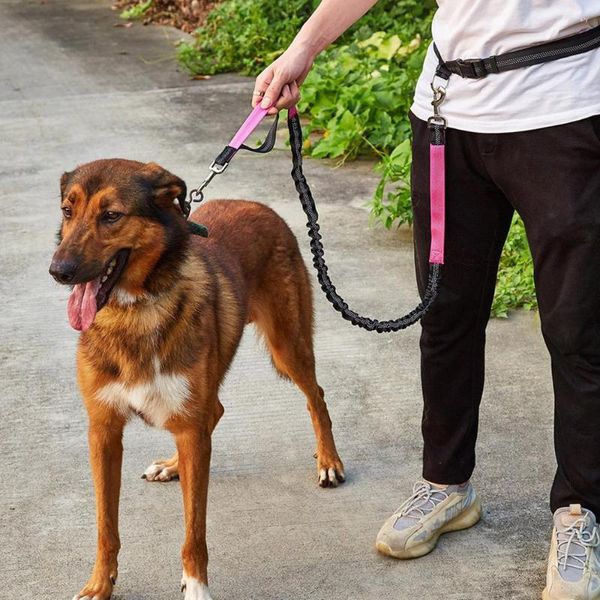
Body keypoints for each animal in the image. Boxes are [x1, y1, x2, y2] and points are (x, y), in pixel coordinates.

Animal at [52, 158, 344, 600]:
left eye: (112, 215)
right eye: (68, 212)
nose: (58, 271)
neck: (133, 313)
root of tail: (257, 204)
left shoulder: (189, 430)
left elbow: (194, 532)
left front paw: (196, 587)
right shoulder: (103, 431)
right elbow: (105, 526)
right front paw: (99, 585)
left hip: (287, 346)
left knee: (317, 396)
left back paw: (329, 461)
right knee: (215, 411)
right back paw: (172, 466)